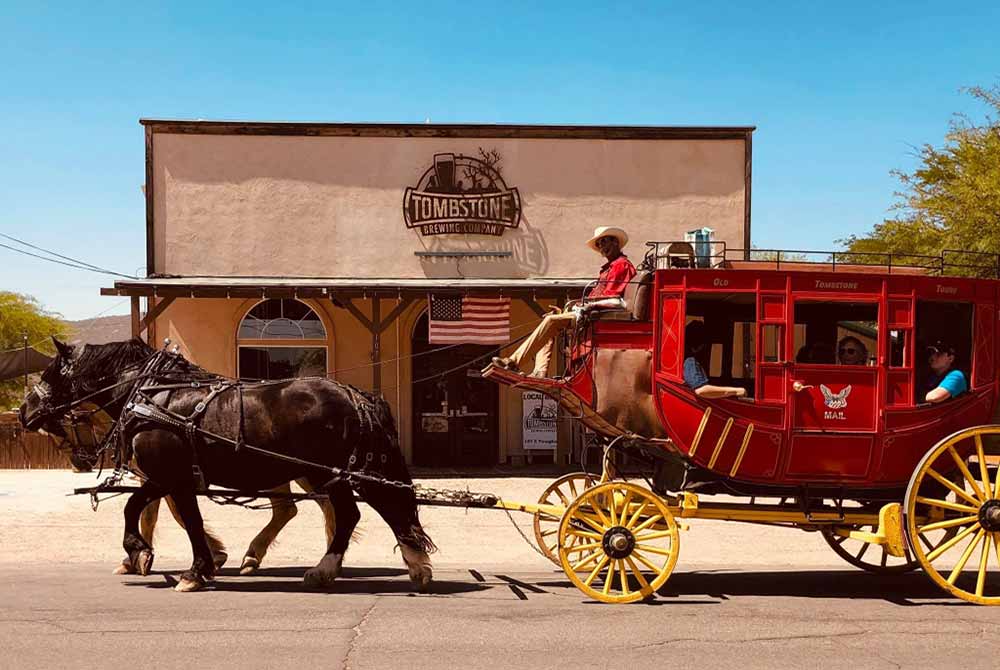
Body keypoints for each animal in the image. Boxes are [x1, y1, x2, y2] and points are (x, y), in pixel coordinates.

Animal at [19, 342, 434, 592]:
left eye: (49, 374)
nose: (24, 411)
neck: (153, 395)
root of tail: (354, 394)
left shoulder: (169, 476)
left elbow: (167, 515)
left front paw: (184, 566)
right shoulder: (166, 478)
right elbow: (149, 509)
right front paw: (147, 556)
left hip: (330, 471)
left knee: (365, 511)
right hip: (330, 473)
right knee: (356, 513)